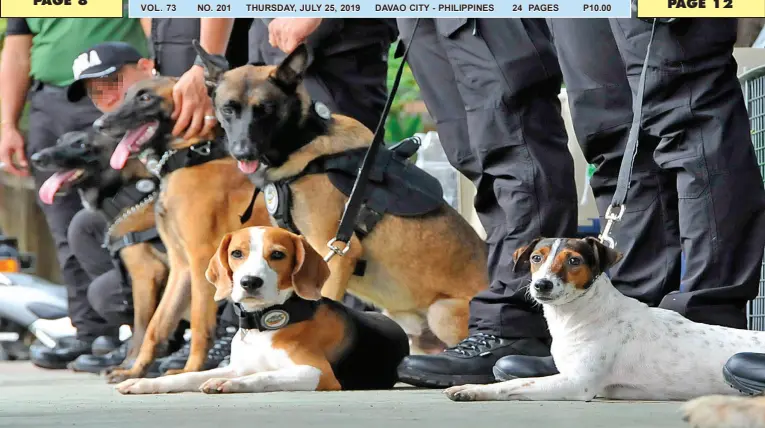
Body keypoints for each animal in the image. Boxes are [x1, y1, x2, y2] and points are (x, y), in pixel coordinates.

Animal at [29, 129, 169, 366]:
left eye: (83, 144)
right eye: (59, 141)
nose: (36, 158)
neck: (129, 196)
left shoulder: (146, 275)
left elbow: (142, 327)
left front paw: (132, 364)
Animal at [93, 76, 272, 382]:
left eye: (145, 98)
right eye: (127, 95)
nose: (100, 124)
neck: (191, 159)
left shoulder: (201, 263)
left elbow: (199, 323)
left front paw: (189, 371)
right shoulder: (181, 266)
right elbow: (157, 324)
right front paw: (135, 370)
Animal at [194, 42, 486, 354]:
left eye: (266, 110)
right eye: (228, 109)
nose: (242, 152)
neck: (304, 142)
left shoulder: (336, 254)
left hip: (443, 312)